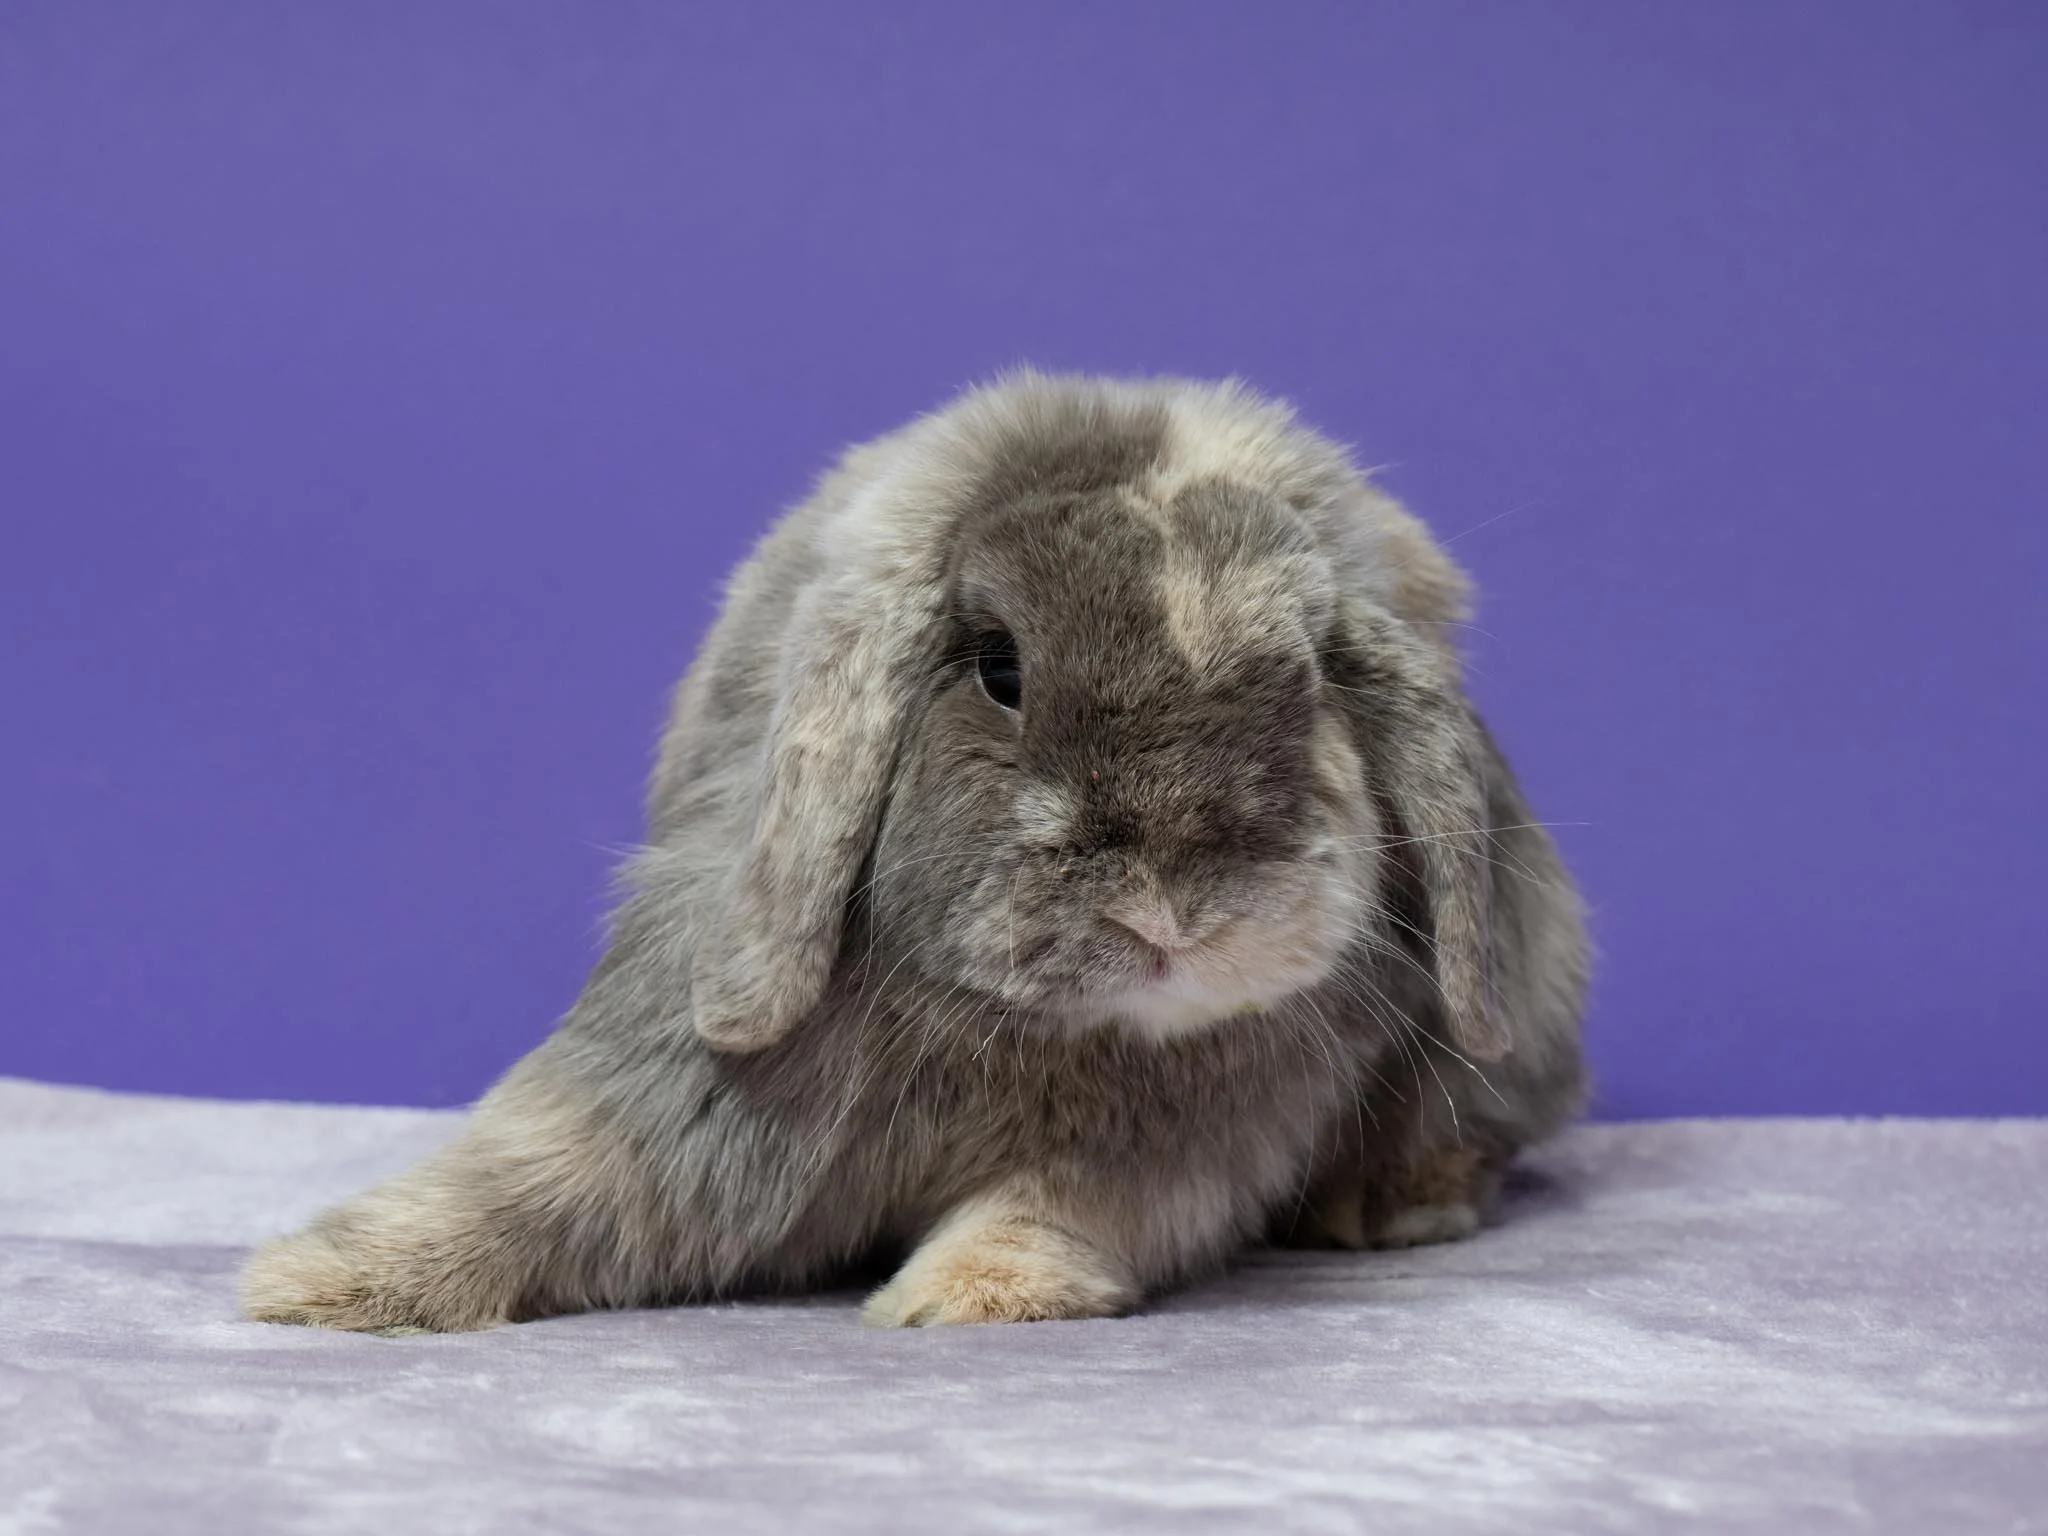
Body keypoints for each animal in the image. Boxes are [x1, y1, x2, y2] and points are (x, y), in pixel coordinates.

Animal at [240, 372, 1589, 1333]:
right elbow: (537, 1180)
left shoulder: (1175, 1146)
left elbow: (1053, 1208)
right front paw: (311, 1284)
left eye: (1308, 677)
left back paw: (1382, 1205)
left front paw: (969, 1297)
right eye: (998, 666)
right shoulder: (677, 1107)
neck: (1031, 1028)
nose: (1170, 909)